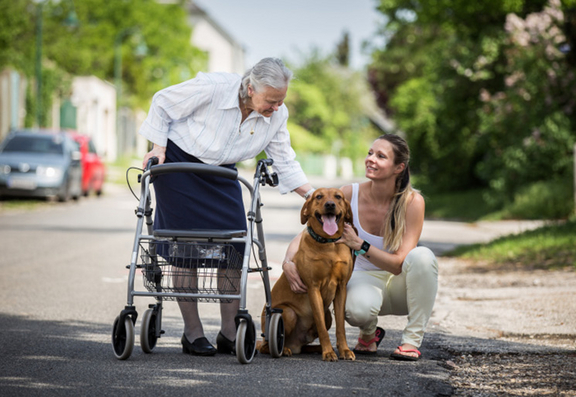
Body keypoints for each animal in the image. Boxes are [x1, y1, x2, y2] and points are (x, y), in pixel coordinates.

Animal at [260, 187, 356, 360]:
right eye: (319, 196)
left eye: (338, 196)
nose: (330, 204)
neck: (329, 244)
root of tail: (295, 345)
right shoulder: (313, 288)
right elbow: (321, 326)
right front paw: (328, 352)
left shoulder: (341, 288)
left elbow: (341, 326)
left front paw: (344, 350)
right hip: (287, 313)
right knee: (265, 346)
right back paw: (283, 349)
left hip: (328, 315)